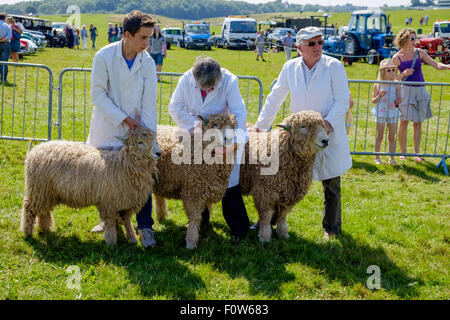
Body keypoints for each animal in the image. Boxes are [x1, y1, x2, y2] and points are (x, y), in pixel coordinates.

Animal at [21, 126, 162, 246]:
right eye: (140, 142)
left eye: (155, 140)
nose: (159, 153)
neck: (123, 165)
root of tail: (35, 150)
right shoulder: (108, 203)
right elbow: (110, 223)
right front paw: (111, 243)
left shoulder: (126, 202)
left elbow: (127, 222)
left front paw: (132, 239)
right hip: (38, 189)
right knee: (29, 208)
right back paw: (27, 232)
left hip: (47, 192)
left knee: (43, 211)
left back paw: (45, 229)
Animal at [153, 112, 237, 250]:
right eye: (215, 124)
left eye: (233, 126)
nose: (228, 139)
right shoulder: (192, 192)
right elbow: (195, 218)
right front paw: (191, 242)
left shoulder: (205, 188)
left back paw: (161, 216)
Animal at [241, 110, 328, 242]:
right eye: (303, 126)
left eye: (323, 125)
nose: (325, 140)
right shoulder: (264, 192)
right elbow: (266, 216)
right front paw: (265, 237)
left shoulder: (290, 193)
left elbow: (282, 215)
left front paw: (283, 233)